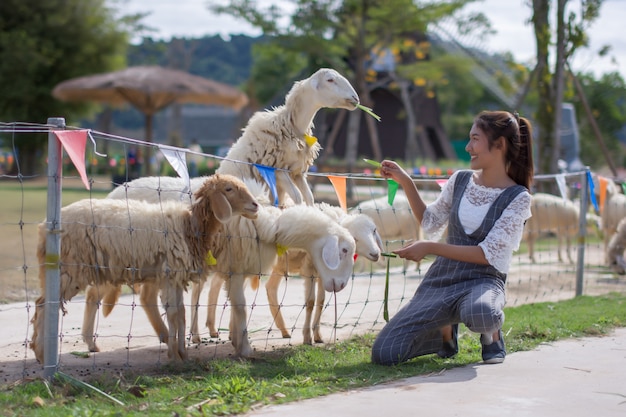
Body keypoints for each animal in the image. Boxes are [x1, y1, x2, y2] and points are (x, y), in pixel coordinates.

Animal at [28, 174, 258, 362]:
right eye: (228, 189)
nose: (255, 206)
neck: (189, 226)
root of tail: (43, 227)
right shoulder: (170, 274)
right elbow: (174, 314)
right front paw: (175, 356)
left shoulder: (175, 277)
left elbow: (181, 314)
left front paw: (182, 353)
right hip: (69, 269)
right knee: (43, 304)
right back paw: (42, 354)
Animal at [91, 174, 356, 356]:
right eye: (344, 250)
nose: (342, 286)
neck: (270, 225)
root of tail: (114, 193)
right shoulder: (235, 268)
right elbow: (240, 307)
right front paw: (245, 348)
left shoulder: (237, 269)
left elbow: (235, 307)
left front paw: (237, 341)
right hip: (116, 260)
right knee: (96, 292)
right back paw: (91, 342)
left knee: (146, 297)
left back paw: (165, 336)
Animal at [217, 67, 358, 208]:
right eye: (330, 80)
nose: (355, 98)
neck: (291, 126)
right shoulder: (278, 169)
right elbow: (297, 197)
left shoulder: (297, 172)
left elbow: (309, 197)